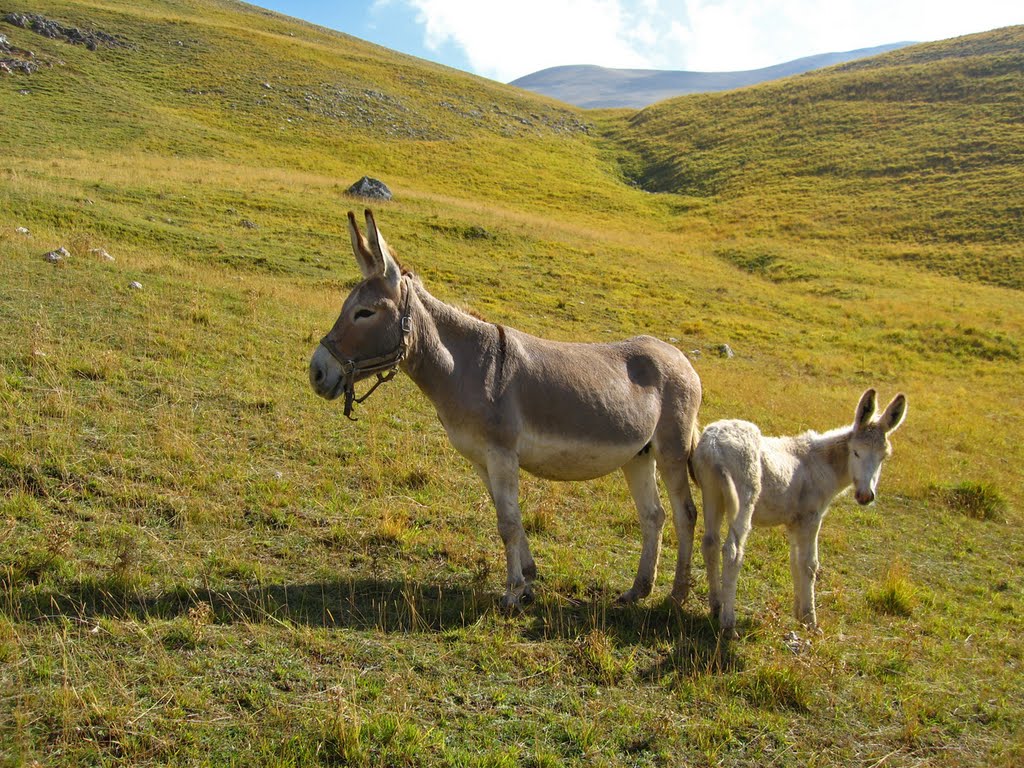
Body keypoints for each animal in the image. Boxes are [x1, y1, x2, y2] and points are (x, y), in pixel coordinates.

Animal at [696, 391, 905, 630]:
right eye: (856, 452)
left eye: (883, 457)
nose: (865, 496)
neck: (824, 463)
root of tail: (713, 445)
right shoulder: (811, 517)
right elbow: (809, 564)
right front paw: (811, 621)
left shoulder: (794, 522)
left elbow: (795, 561)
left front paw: (799, 614)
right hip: (744, 497)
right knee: (732, 551)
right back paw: (728, 623)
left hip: (712, 494)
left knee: (710, 543)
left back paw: (716, 606)